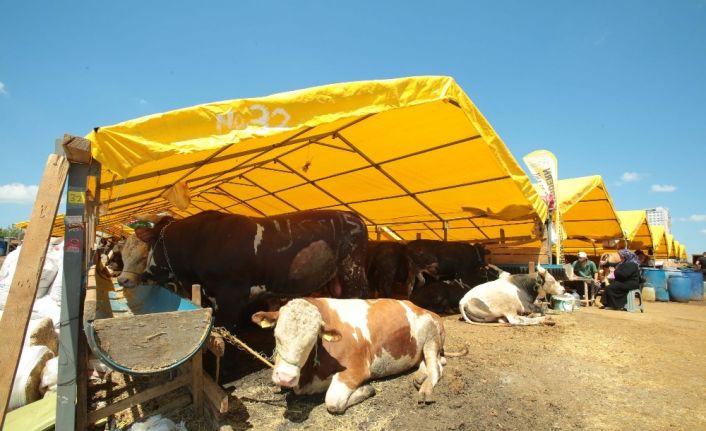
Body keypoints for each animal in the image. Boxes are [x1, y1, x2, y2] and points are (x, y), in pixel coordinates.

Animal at [252, 298, 446, 414]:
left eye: (312, 340)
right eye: (276, 335)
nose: (285, 377)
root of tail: (419, 306)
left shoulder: (355, 369)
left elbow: (333, 402)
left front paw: (367, 389)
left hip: (431, 336)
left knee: (436, 367)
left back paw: (425, 389)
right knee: (435, 362)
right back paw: (419, 377)